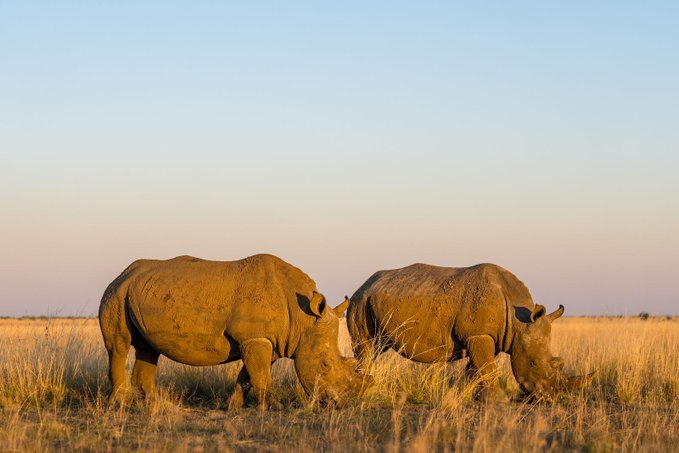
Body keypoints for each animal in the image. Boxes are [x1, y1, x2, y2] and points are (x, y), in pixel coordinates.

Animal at [99, 254, 363, 409]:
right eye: (325, 364)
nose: (339, 404)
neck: (303, 319)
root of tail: (123, 273)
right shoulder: (255, 338)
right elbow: (261, 376)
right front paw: (274, 408)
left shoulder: (264, 341)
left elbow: (248, 377)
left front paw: (233, 407)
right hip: (117, 293)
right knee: (119, 346)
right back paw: (118, 405)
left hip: (136, 292)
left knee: (148, 348)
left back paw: (156, 405)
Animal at [346, 262, 594, 400]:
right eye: (533, 363)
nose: (548, 398)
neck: (519, 322)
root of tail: (363, 285)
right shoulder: (479, 334)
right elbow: (487, 367)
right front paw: (496, 399)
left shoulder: (487, 336)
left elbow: (477, 367)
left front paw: (465, 393)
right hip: (360, 301)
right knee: (366, 347)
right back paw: (363, 386)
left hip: (374, 299)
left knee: (376, 347)